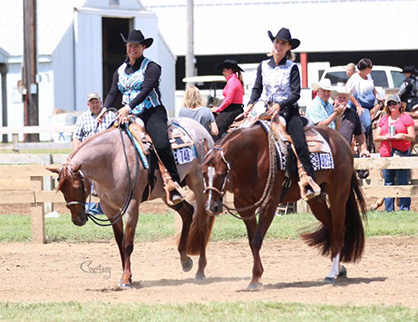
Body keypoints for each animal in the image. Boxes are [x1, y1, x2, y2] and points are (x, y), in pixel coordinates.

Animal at [49, 117, 216, 288]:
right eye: (61, 190)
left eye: (78, 186)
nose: (78, 220)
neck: (111, 160)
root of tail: (201, 129)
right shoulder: (109, 208)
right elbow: (119, 242)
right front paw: (127, 277)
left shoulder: (132, 205)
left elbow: (127, 243)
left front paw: (125, 279)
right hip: (167, 195)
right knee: (187, 212)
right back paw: (185, 261)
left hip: (199, 184)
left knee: (202, 223)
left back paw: (200, 271)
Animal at [202, 123, 366, 290]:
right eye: (203, 173)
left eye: (221, 174)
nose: (211, 207)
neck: (253, 156)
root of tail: (342, 142)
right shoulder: (244, 206)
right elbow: (252, 241)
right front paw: (257, 276)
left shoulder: (270, 203)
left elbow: (256, 241)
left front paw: (255, 279)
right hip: (316, 200)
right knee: (332, 229)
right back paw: (339, 269)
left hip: (338, 195)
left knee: (339, 232)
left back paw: (331, 274)